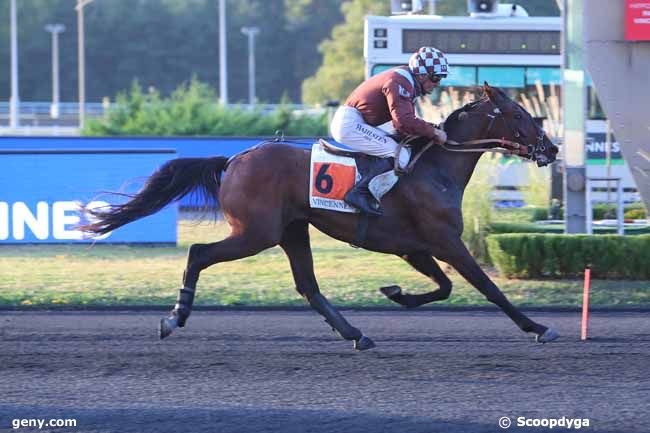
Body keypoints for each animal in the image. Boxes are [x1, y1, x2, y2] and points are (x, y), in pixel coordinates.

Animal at [79, 82, 556, 350]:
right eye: (519, 114)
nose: (550, 148)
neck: (434, 167)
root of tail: (234, 159)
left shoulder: (415, 248)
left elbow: (444, 288)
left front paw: (395, 293)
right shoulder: (446, 242)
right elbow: (487, 288)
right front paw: (536, 326)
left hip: (292, 231)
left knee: (308, 286)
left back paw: (356, 334)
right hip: (256, 232)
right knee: (198, 252)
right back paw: (174, 317)